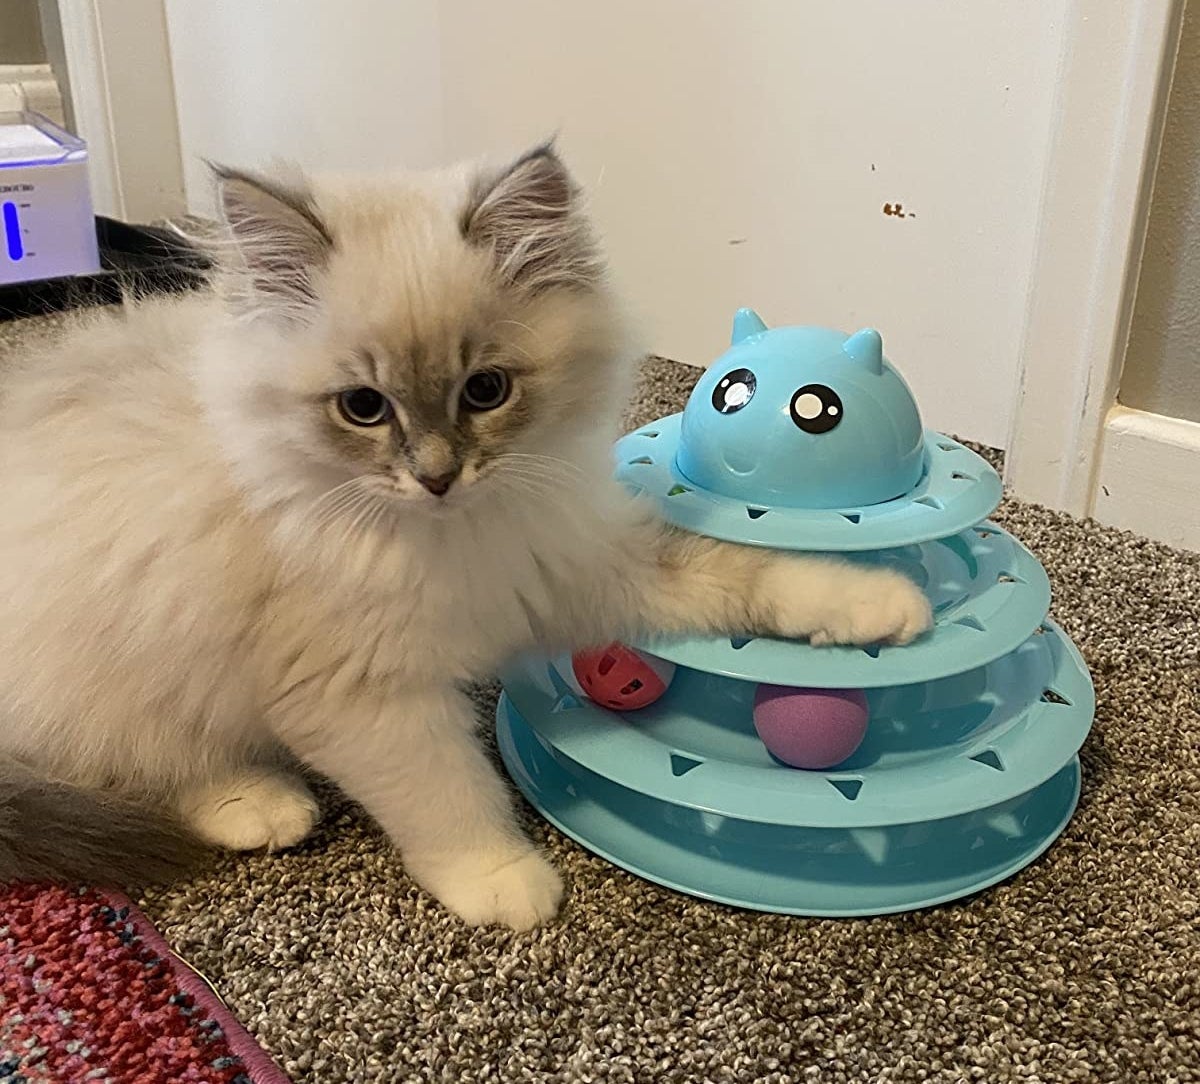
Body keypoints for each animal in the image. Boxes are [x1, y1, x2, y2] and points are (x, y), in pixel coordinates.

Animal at [0, 144, 926, 926]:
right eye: (363, 407)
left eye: (485, 391)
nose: (438, 477)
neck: (458, 536)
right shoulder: (362, 693)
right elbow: (447, 792)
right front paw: (503, 881)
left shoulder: (575, 562)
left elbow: (751, 572)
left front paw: (883, 605)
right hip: (127, 671)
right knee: (134, 765)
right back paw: (258, 805)